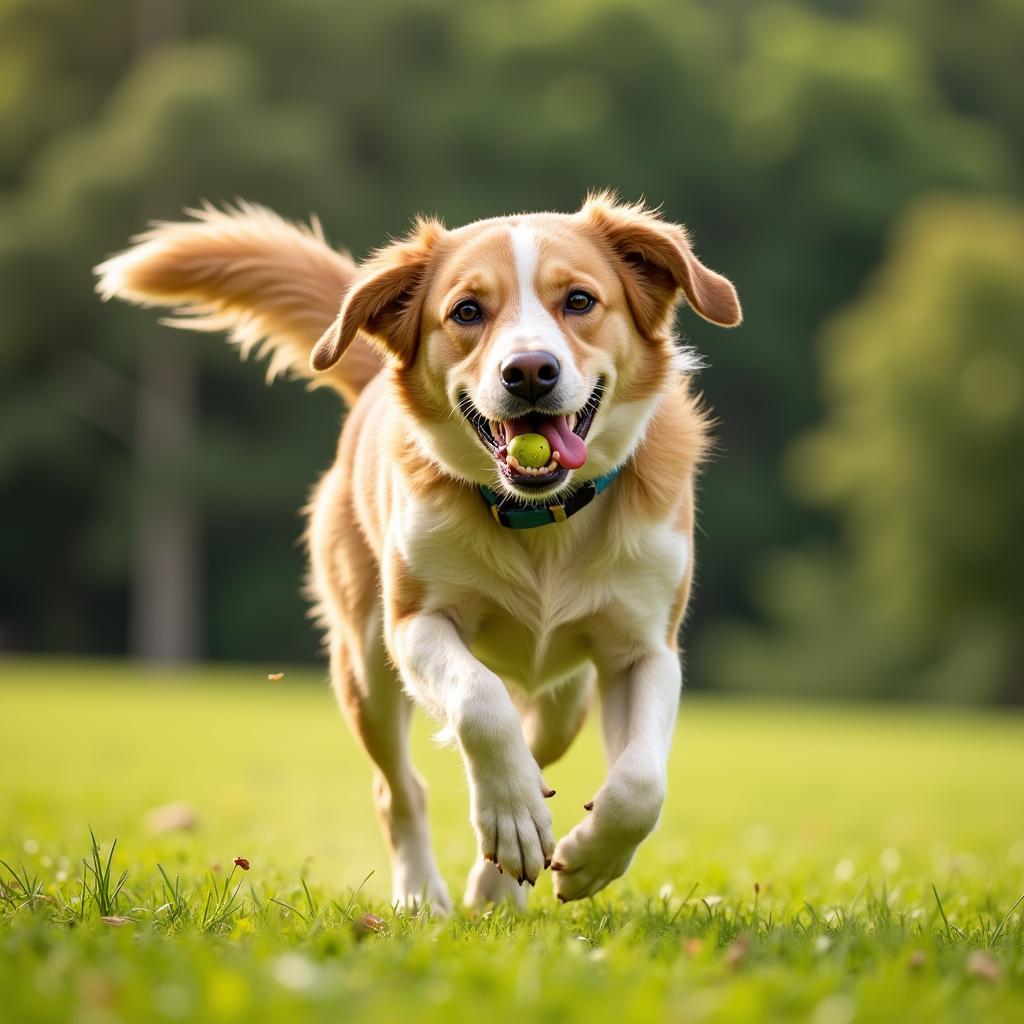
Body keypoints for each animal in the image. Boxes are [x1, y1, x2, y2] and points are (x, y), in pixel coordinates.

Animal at [96, 195, 741, 909]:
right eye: (466, 311)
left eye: (579, 300)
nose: (529, 372)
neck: (537, 518)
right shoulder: (413, 625)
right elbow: (479, 704)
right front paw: (513, 817)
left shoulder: (644, 648)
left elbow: (640, 784)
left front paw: (587, 859)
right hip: (364, 667)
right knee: (400, 787)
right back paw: (426, 890)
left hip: (564, 700)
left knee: (538, 743)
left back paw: (498, 884)